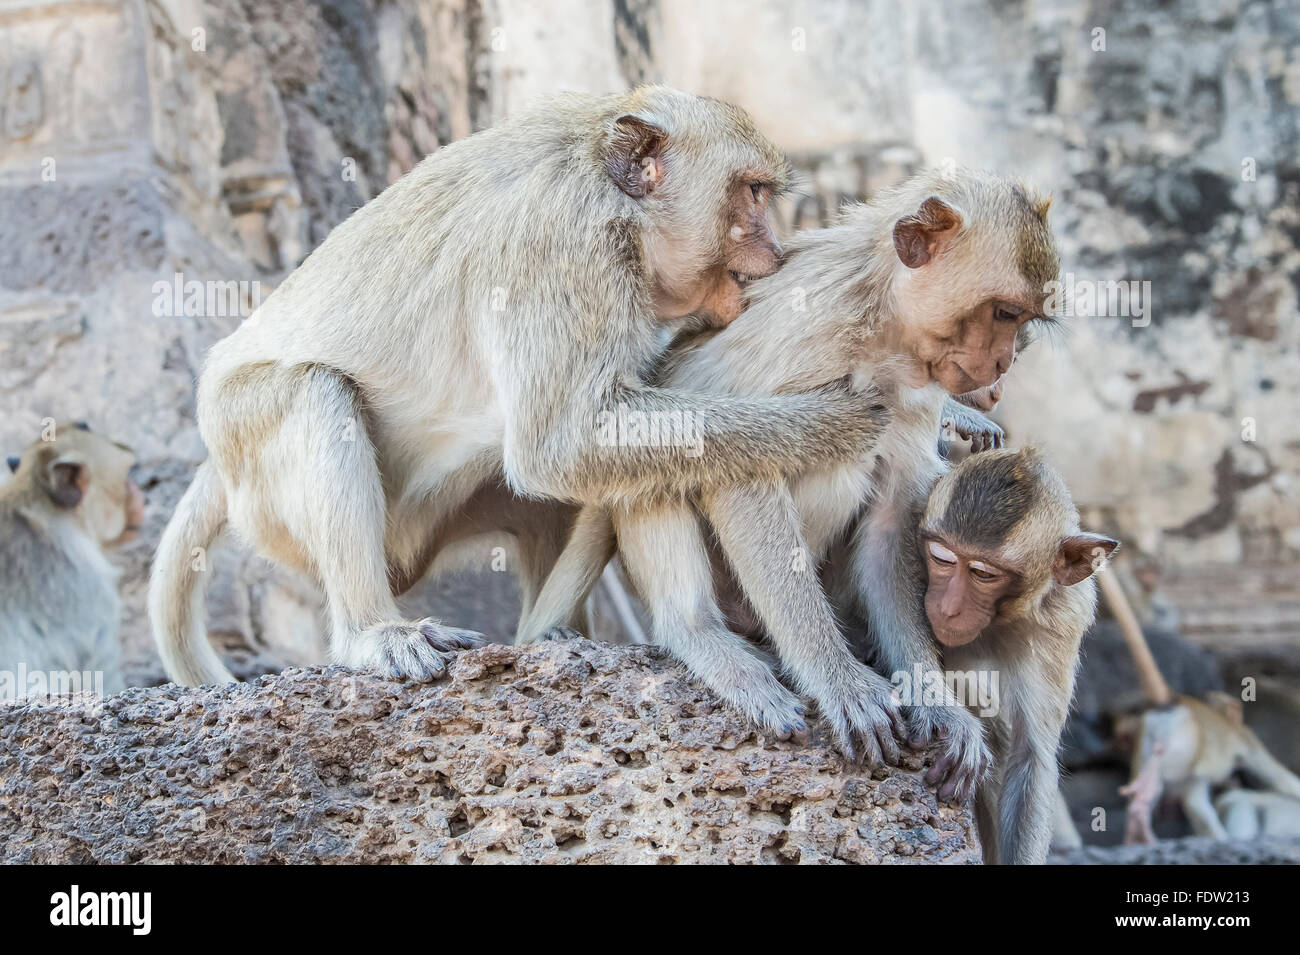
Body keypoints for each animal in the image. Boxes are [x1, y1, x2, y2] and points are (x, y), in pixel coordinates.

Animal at [149, 87, 883, 686]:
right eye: (754, 193)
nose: (776, 250)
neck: (620, 211)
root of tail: (216, 459)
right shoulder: (560, 249)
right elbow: (563, 441)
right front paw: (831, 424)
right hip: (256, 465)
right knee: (316, 389)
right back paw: (371, 632)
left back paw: (558, 639)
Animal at [517, 167, 1055, 774]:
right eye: (1004, 313)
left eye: (1021, 320)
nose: (1003, 363)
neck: (883, 329)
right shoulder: (811, 327)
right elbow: (738, 465)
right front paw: (840, 681)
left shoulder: (922, 388)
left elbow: (892, 522)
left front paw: (933, 699)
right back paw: (699, 634)